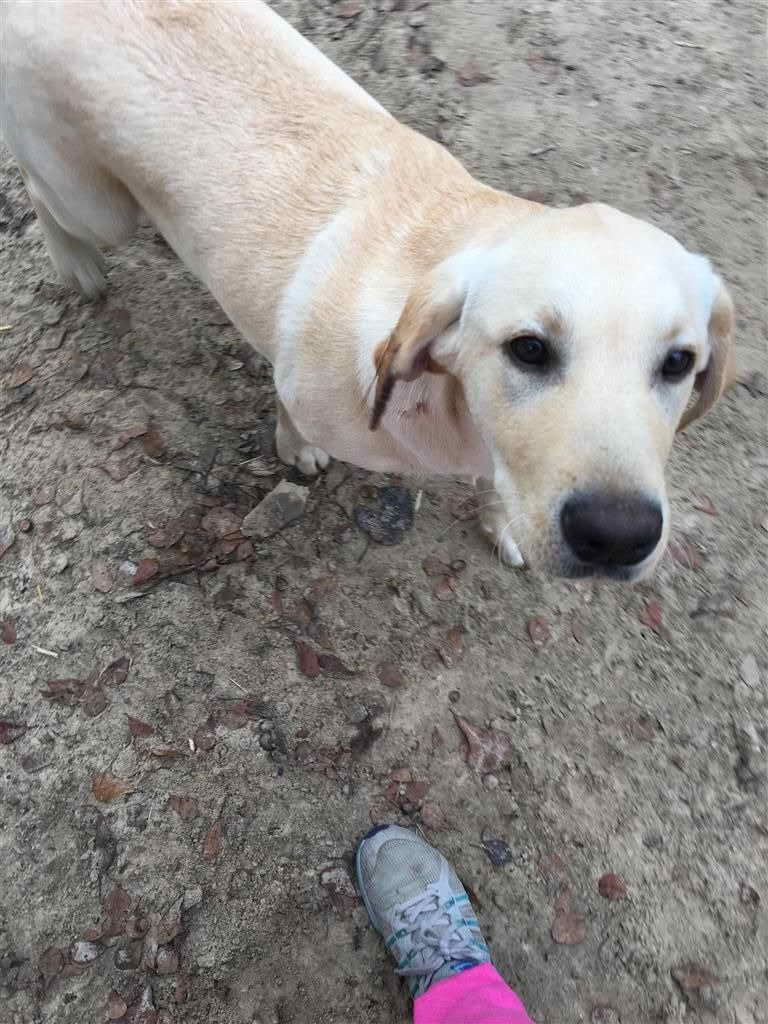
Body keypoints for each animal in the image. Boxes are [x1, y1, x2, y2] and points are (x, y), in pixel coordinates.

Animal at [0, 0, 737, 577]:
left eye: (680, 363)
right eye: (528, 349)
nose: (617, 537)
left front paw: (499, 519)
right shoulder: (301, 382)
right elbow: (289, 408)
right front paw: (296, 447)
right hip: (99, 207)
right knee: (39, 192)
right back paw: (76, 265)